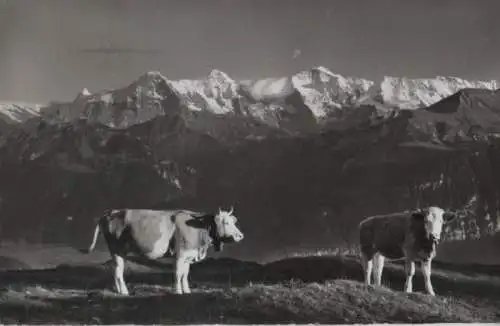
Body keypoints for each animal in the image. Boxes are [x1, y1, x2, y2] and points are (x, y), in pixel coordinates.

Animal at [84, 209, 244, 296]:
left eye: (233, 222)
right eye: (226, 223)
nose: (240, 236)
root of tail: (109, 213)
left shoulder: (188, 256)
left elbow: (185, 274)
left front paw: (187, 290)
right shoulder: (181, 254)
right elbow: (178, 273)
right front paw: (178, 291)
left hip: (118, 253)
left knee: (116, 271)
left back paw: (119, 290)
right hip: (116, 249)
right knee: (118, 272)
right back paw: (124, 291)